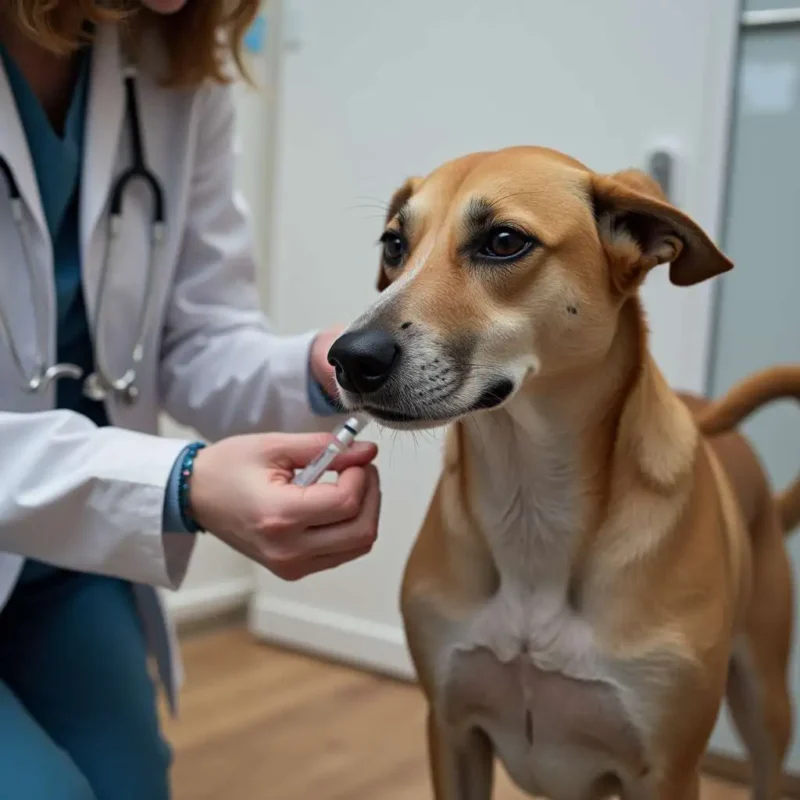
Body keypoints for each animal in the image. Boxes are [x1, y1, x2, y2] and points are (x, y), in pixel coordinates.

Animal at [324, 148, 800, 800]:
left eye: (504, 241)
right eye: (395, 243)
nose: (350, 358)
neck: (530, 498)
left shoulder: (667, 771)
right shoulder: (451, 731)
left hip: (764, 702)